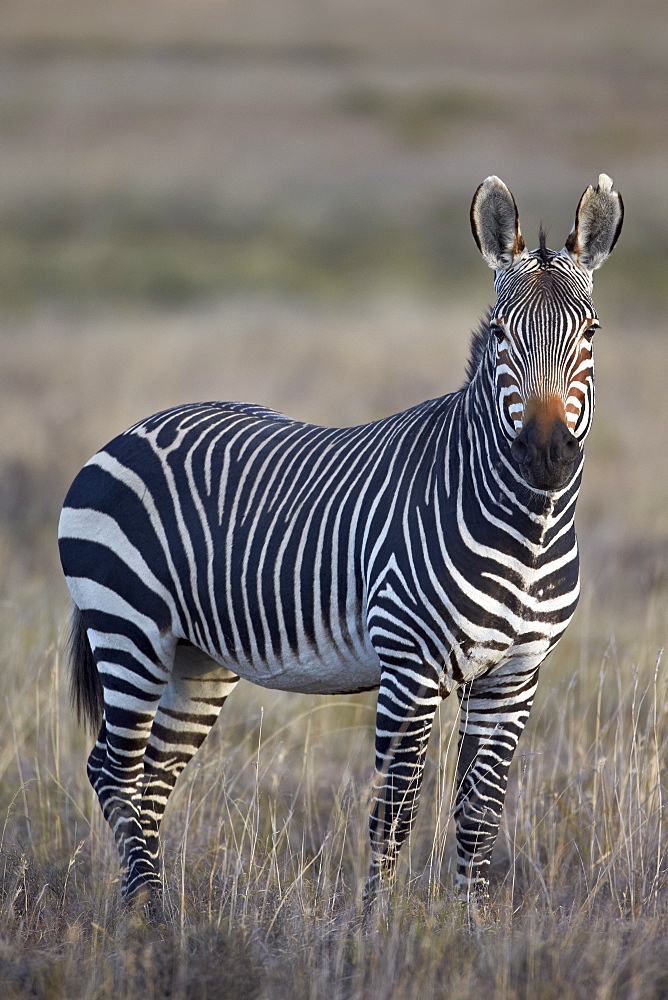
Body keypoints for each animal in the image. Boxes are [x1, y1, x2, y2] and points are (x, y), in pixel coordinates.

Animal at [57, 176, 620, 916]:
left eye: (591, 332)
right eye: (502, 333)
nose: (549, 456)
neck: (530, 529)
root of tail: (129, 431)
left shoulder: (515, 677)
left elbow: (479, 815)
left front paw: (472, 927)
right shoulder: (410, 668)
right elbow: (396, 809)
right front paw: (377, 927)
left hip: (195, 656)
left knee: (151, 777)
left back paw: (150, 905)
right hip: (128, 627)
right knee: (115, 768)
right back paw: (147, 913)